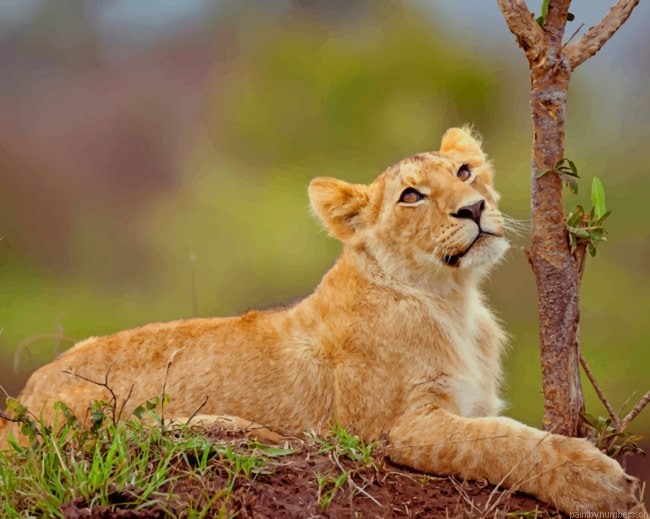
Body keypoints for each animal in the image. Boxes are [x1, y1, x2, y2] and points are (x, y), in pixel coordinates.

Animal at [1, 127, 642, 513]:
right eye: (411, 196)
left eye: (464, 172)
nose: (475, 208)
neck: (452, 299)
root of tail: (21, 402)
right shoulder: (397, 429)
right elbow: (500, 442)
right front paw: (602, 484)